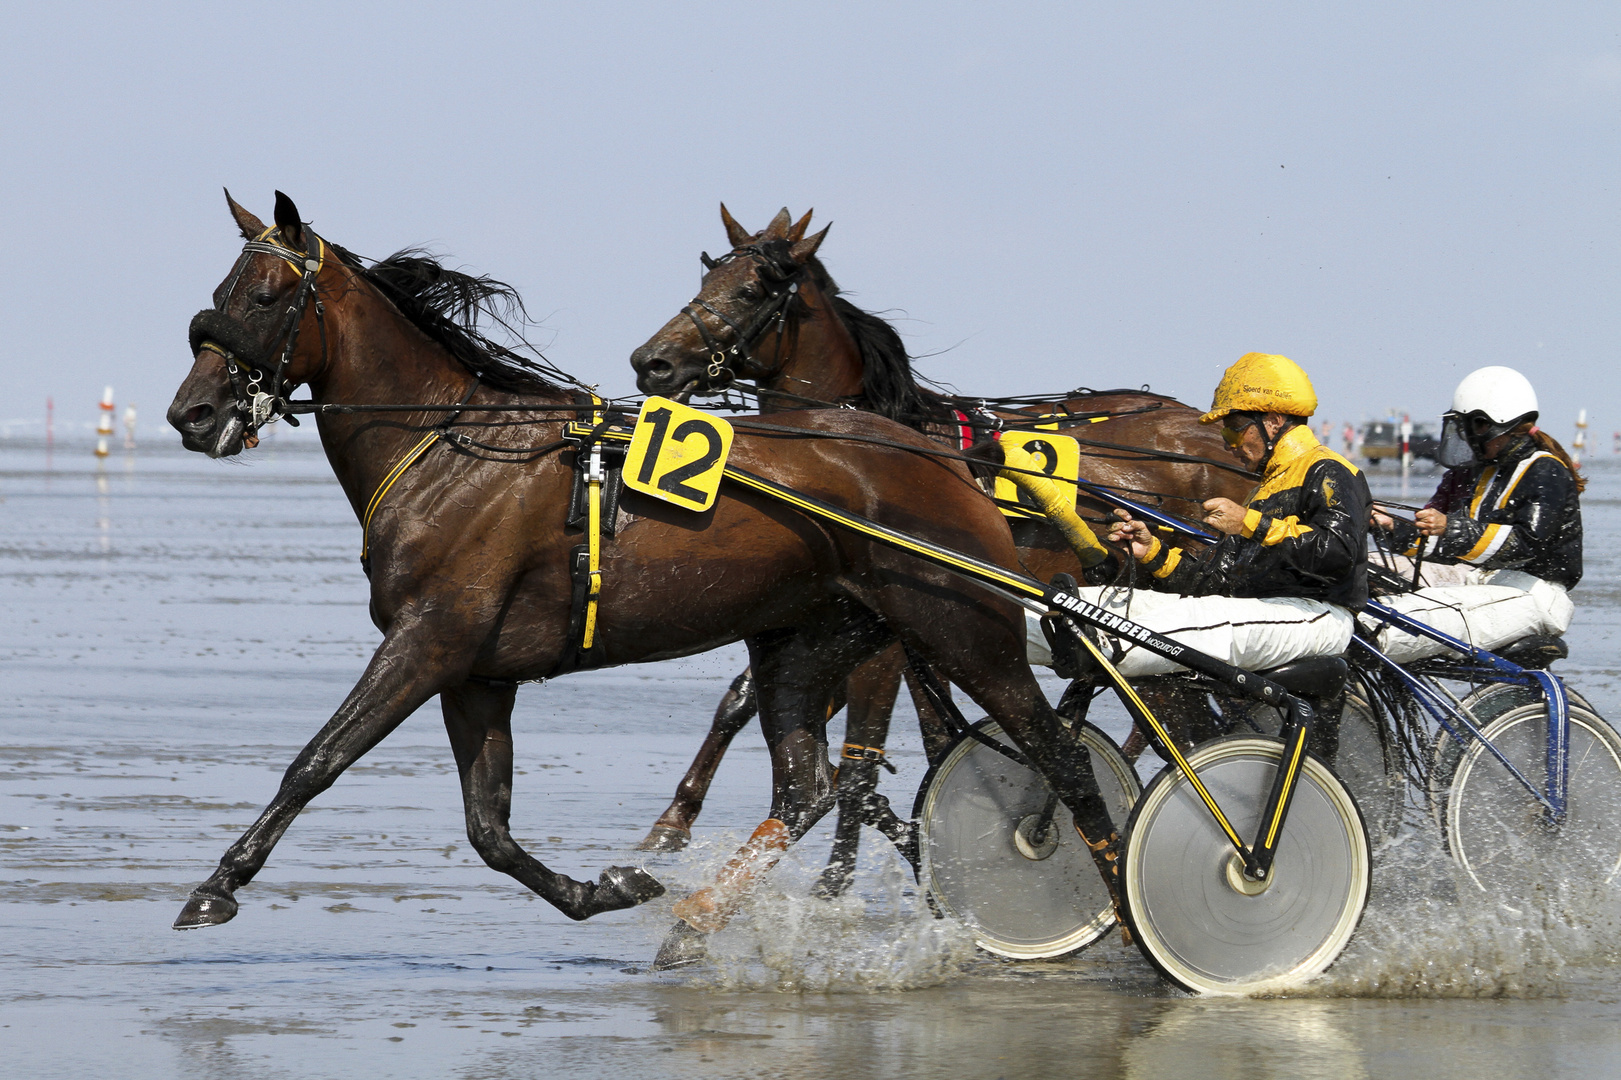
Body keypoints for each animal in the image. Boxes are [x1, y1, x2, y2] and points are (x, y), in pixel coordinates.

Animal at [167, 191, 1128, 960]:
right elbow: (488, 829)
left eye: (264, 297)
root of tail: (940, 456)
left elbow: (316, 761)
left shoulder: (428, 642)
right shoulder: (477, 674)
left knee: (1058, 758)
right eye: (214, 298)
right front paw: (606, 889)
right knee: (809, 785)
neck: (448, 450)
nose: (192, 413)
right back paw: (697, 919)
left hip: (960, 630)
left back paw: (1122, 911)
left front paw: (217, 886)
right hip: (805, 641)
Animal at [622, 204, 1251, 856]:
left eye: (749, 290)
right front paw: (674, 819)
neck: (857, 444)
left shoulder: (888, 621)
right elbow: (751, 702)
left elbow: (865, 753)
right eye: (705, 281)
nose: (652, 360)